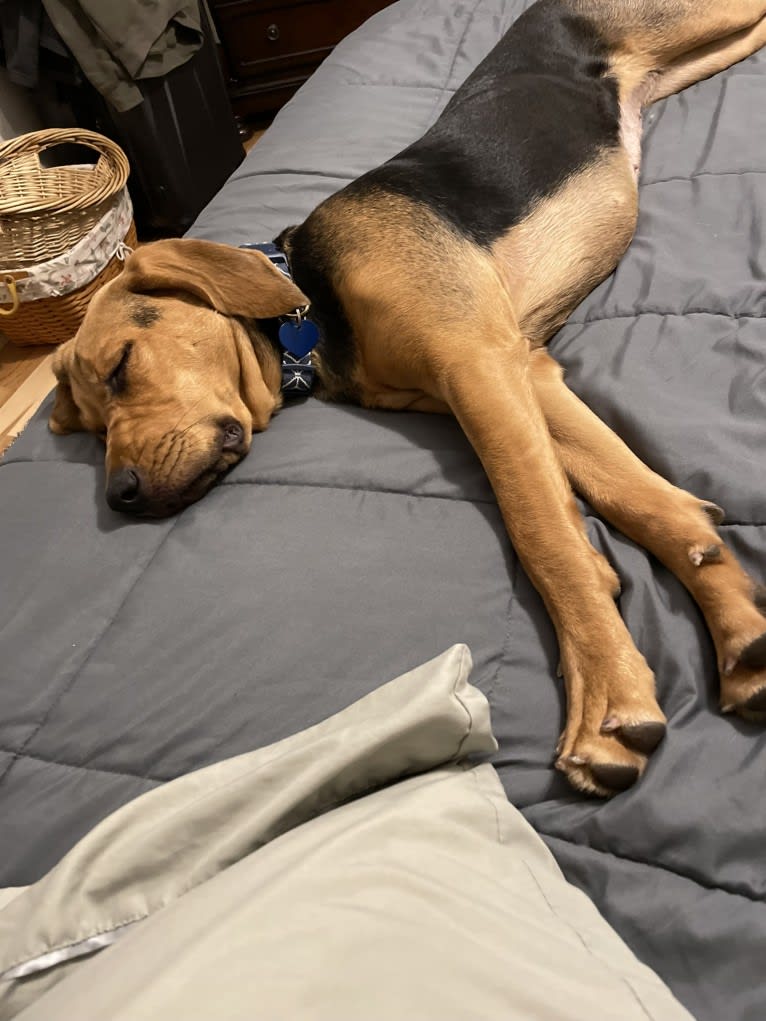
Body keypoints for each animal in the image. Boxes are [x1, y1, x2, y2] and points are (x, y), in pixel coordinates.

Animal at [49, 0, 766, 792]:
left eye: (120, 366)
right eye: (89, 429)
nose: (120, 496)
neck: (311, 305)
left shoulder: (476, 366)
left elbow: (545, 536)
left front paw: (606, 698)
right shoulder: (519, 374)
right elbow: (649, 503)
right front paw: (738, 630)